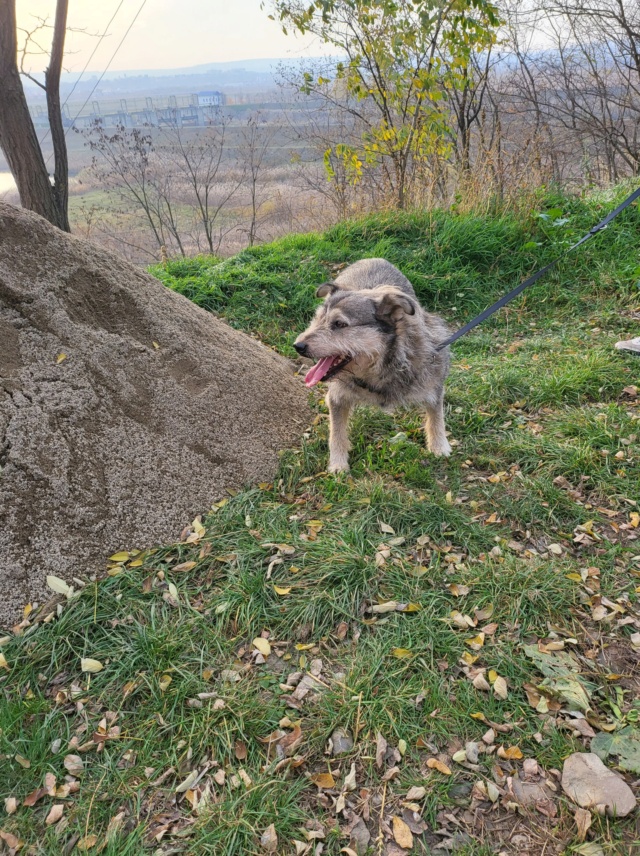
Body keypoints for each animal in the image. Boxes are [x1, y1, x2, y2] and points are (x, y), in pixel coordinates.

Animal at [292, 260, 452, 474]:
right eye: (317, 319)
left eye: (339, 324)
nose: (298, 346)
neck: (377, 369)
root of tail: (375, 258)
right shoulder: (337, 397)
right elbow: (337, 432)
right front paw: (338, 463)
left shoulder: (433, 383)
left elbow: (436, 416)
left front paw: (439, 446)